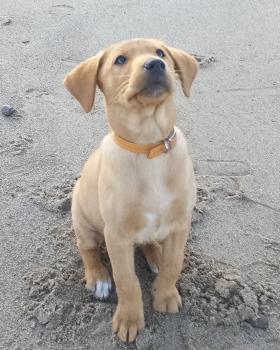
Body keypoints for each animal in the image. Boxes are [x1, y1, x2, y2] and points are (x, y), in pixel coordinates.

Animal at [64, 38, 198, 342]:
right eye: (120, 60)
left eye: (161, 53)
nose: (155, 64)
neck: (149, 148)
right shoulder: (116, 235)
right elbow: (127, 280)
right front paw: (129, 319)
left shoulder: (181, 222)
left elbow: (174, 264)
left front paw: (165, 294)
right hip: (83, 219)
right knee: (87, 248)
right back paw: (99, 277)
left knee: (150, 243)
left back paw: (155, 254)